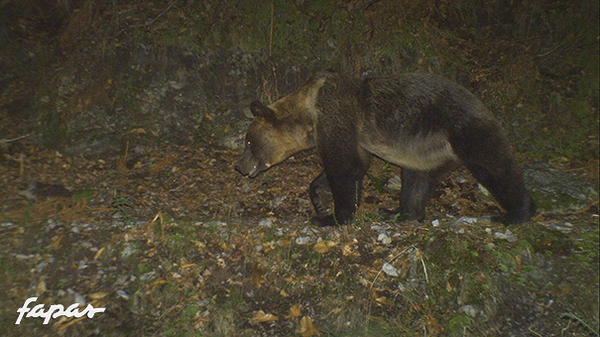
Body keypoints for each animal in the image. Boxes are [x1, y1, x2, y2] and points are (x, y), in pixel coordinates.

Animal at [234, 70, 536, 226]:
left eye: (248, 141)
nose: (239, 166)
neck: (309, 115)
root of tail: (483, 105)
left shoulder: (337, 118)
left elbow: (345, 167)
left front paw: (332, 217)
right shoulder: (352, 137)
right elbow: (354, 165)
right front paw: (319, 197)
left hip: (464, 128)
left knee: (494, 166)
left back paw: (516, 214)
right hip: (427, 151)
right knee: (416, 180)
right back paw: (400, 213)